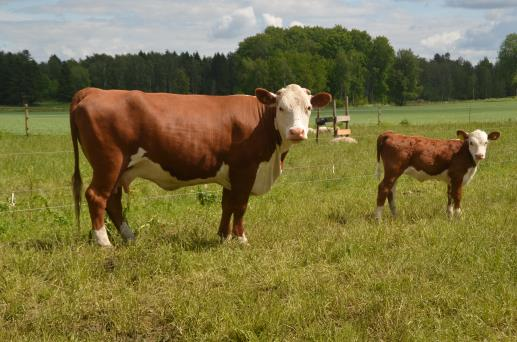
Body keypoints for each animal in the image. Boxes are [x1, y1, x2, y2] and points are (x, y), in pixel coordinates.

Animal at [69, 85, 330, 246]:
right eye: (281, 107)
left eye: (308, 107)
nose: (297, 132)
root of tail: (95, 92)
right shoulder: (245, 170)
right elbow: (241, 206)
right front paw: (241, 239)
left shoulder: (230, 174)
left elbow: (227, 206)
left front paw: (223, 237)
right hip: (109, 163)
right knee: (96, 196)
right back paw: (104, 243)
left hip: (117, 168)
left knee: (112, 201)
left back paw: (130, 238)